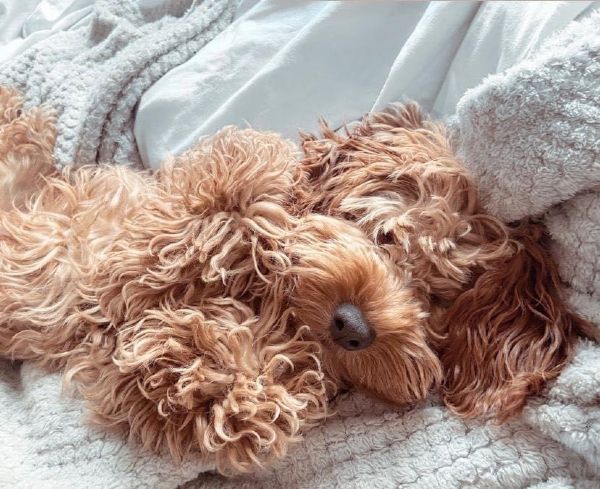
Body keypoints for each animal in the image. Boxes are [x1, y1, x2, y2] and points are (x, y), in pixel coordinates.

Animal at [0, 88, 593, 473]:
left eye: (439, 299)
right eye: (385, 236)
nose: (351, 326)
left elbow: (219, 387)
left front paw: (218, 367)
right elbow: (239, 189)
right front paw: (262, 233)